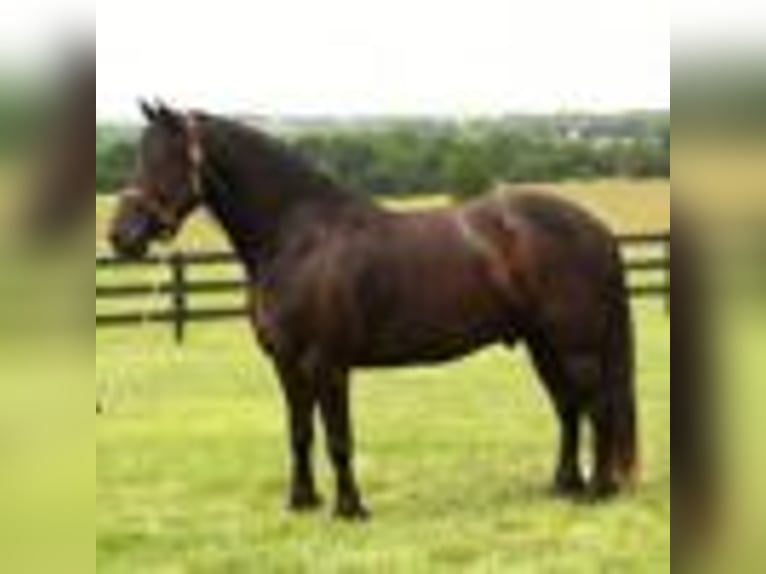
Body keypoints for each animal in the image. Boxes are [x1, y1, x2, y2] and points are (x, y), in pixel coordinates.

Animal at [109, 102, 638, 520]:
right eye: (140, 155)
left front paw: (350, 509)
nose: (121, 236)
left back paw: (597, 491)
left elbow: (339, 439)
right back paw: (564, 485)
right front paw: (302, 502)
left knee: (596, 408)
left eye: (165, 158)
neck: (300, 238)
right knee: (568, 408)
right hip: (541, 344)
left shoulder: (326, 363)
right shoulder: (285, 364)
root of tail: (596, 229)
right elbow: (300, 433)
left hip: (575, 346)